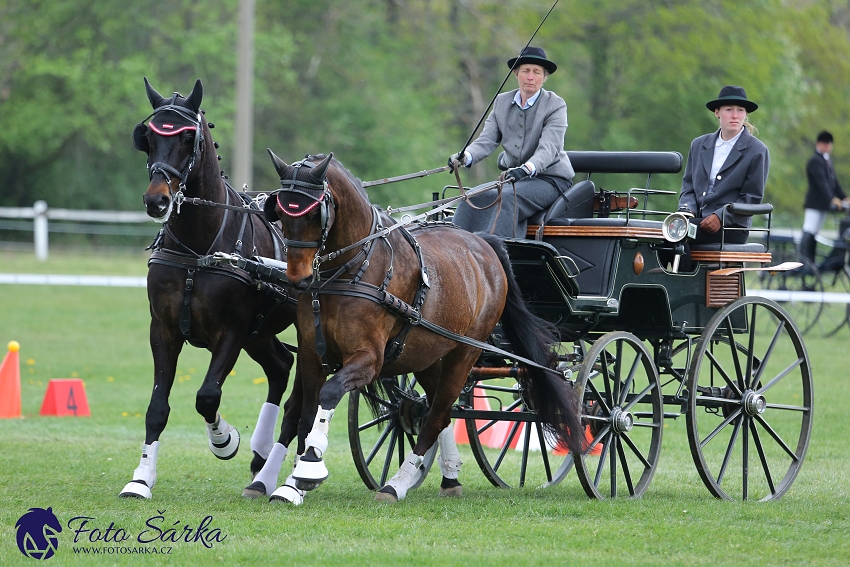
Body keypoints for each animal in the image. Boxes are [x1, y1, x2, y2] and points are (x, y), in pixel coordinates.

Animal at [117, 77, 304, 504]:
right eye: (149, 137)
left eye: (189, 137)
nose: (157, 200)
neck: (198, 248)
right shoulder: (163, 330)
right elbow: (157, 407)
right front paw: (140, 478)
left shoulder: (230, 333)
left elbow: (207, 396)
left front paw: (224, 440)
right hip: (260, 333)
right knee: (280, 366)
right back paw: (261, 454)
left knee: (301, 402)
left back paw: (277, 473)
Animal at [264, 151, 584, 502]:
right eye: (280, 211)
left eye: (313, 212)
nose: (299, 279)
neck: (351, 270)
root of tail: (485, 244)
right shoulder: (311, 353)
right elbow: (305, 412)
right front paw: (291, 484)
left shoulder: (369, 359)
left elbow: (330, 392)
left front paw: (309, 465)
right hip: (428, 355)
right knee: (439, 412)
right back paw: (449, 477)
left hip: (464, 354)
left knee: (435, 417)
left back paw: (396, 484)